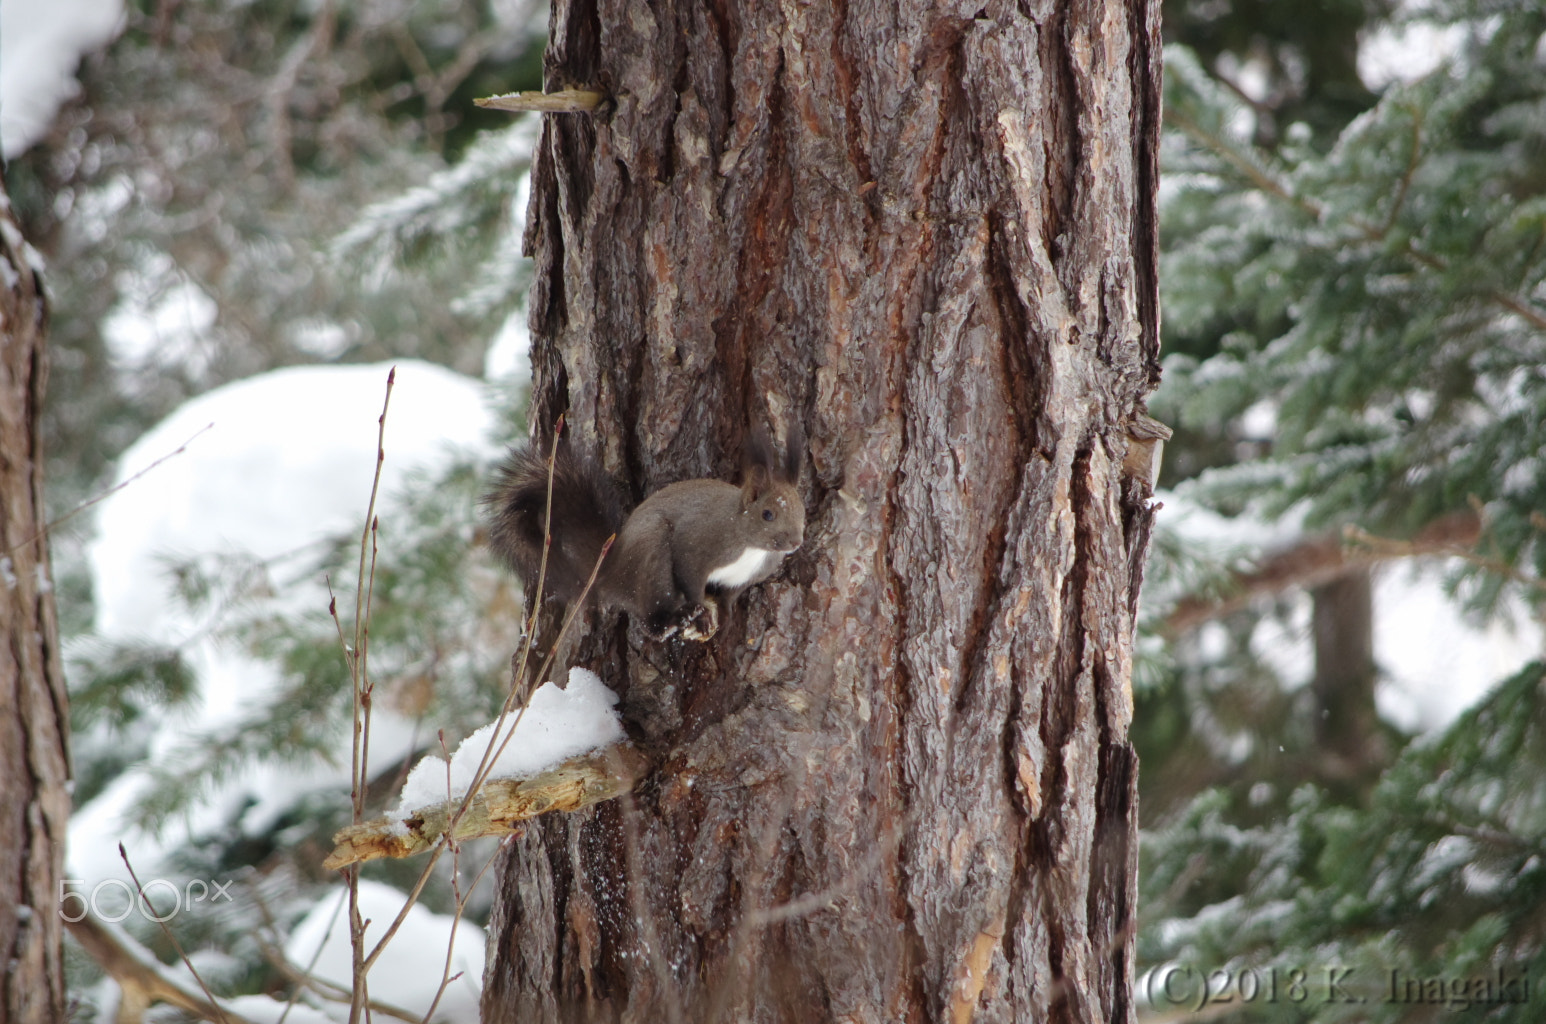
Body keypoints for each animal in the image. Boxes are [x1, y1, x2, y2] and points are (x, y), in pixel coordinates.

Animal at [485, 420, 810, 637]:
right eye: (767, 514)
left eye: (803, 512)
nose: (795, 542)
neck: (750, 546)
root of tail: (612, 572)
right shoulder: (698, 548)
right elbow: (692, 582)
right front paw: (703, 614)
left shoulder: (746, 577)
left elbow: (729, 597)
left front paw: (728, 618)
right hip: (652, 558)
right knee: (651, 619)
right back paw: (675, 620)